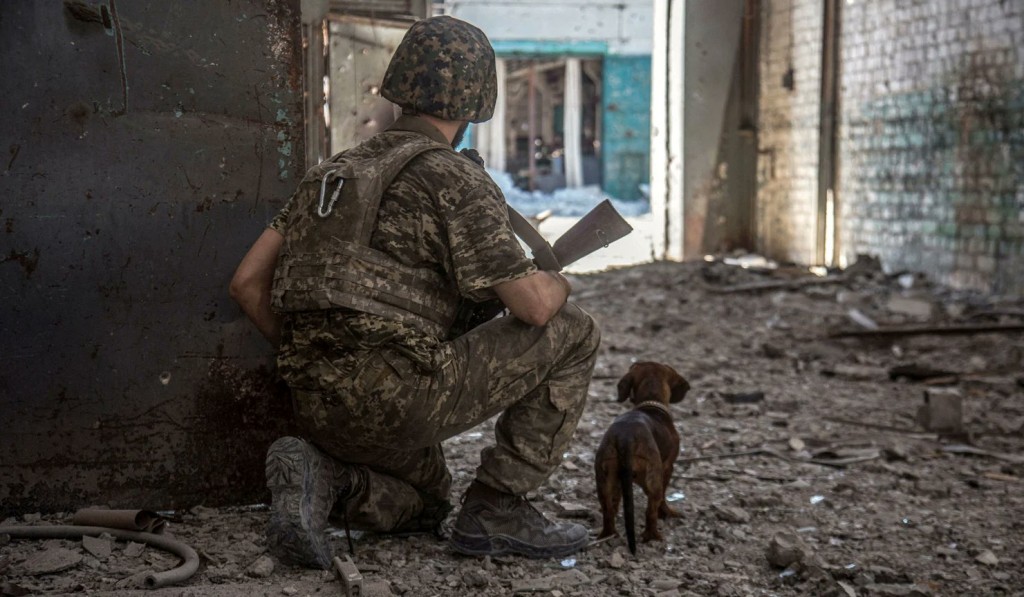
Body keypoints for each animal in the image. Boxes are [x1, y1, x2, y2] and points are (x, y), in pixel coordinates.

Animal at [595, 362, 690, 554]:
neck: (651, 404)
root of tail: (626, 437)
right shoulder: (667, 468)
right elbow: (663, 499)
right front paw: (667, 513)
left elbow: (615, 503)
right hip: (653, 478)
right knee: (651, 511)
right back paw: (652, 536)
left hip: (603, 479)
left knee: (607, 511)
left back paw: (608, 535)